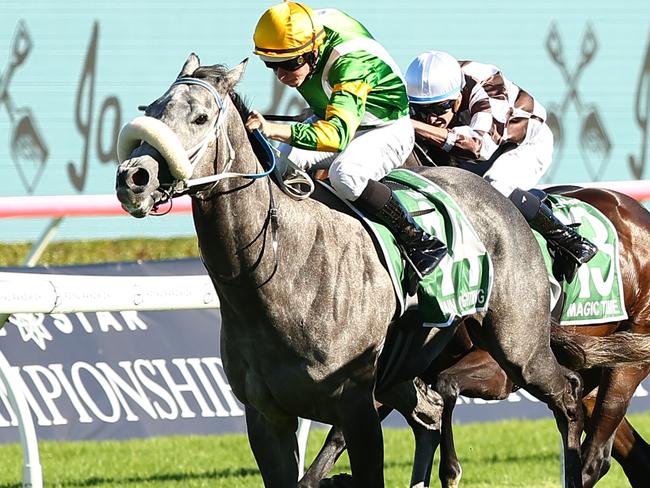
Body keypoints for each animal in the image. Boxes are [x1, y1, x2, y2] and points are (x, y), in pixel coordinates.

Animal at [115, 54, 584, 488]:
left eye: (200, 117)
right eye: (152, 109)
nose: (134, 178)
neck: (278, 272)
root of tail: (496, 195)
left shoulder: (357, 407)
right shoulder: (266, 416)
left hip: (519, 347)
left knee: (569, 394)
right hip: (406, 370)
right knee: (431, 414)